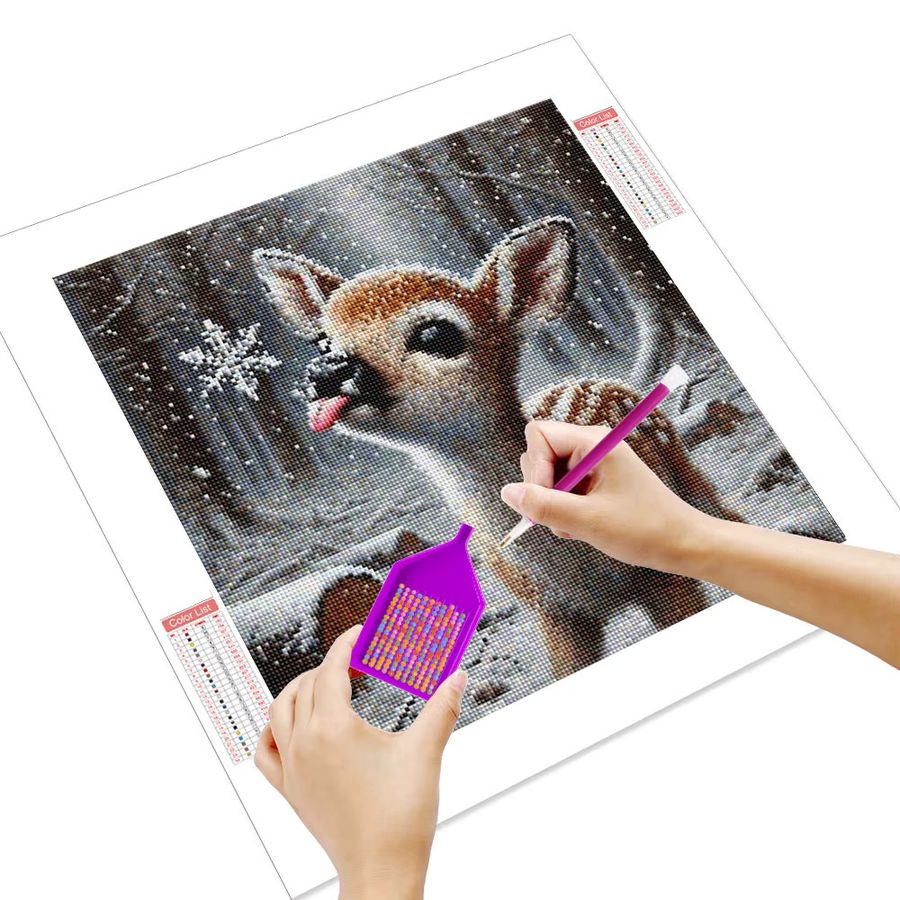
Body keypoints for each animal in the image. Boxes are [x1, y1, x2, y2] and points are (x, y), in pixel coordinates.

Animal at [254, 217, 740, 679]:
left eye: (435, 334)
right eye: (322, 339)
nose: (327, 371)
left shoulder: (658, 575)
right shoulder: (551, 612)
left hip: (683, 479)